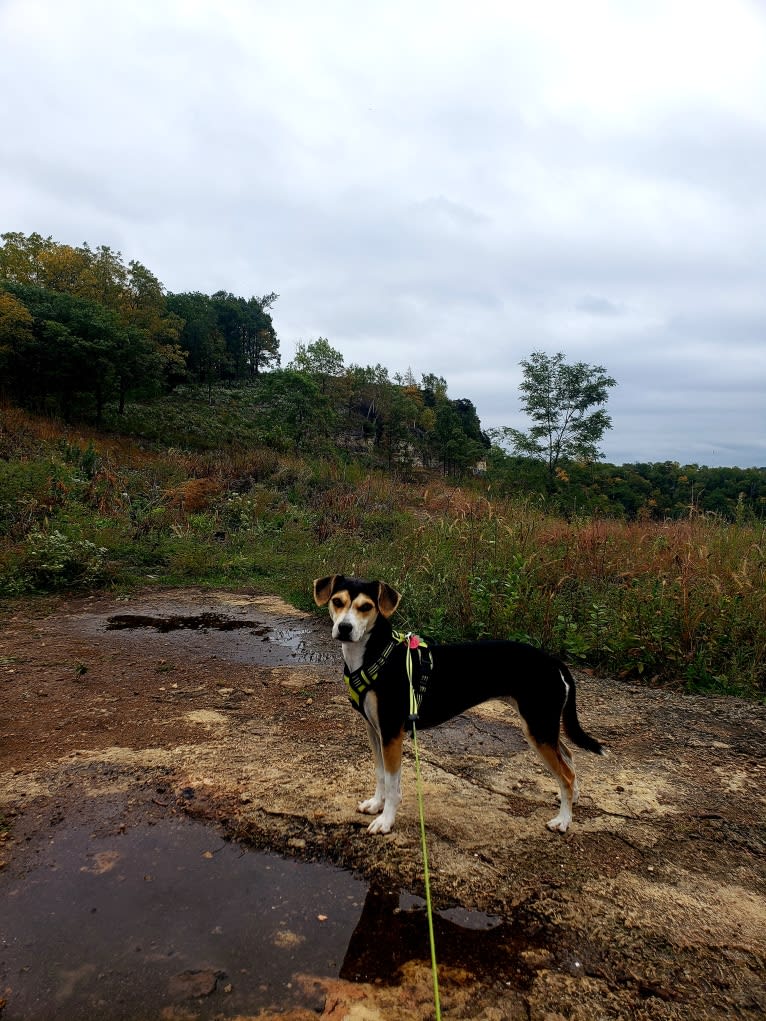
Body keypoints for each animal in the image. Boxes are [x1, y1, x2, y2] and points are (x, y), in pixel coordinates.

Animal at [312, 571, 604, 833]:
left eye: (366, 607)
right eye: (337, 601)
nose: (345, 628)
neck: (376, 654)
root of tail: (553, 662)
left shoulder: (392, 733)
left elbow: (393, 784)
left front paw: (386, 820)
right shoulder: (375, 731)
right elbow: (381, 775)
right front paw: (376, 804)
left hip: (538, 727)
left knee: (566, 774)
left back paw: (563, 820)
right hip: (543, 726)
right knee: (568, 756)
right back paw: (572, 798)